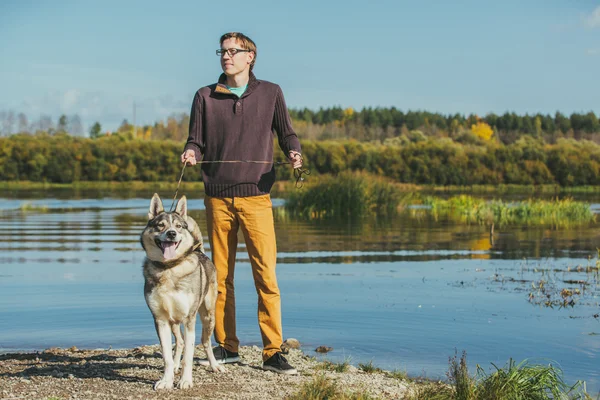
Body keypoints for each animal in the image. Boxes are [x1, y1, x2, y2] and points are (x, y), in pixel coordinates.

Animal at [141, 194, 225, 390]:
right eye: (160, 225)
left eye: (178, 226)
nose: (172, 233)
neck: (169, 268)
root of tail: (199, 250)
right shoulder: (161, 320)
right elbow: (166, 356)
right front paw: (166, 380)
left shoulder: (189, 320)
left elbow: (189, 354)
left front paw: (186, 381)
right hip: (173, 321)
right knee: (178, 342)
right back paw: (175, 365)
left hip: (208, 316)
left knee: (205, 342)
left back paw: (214, 365)